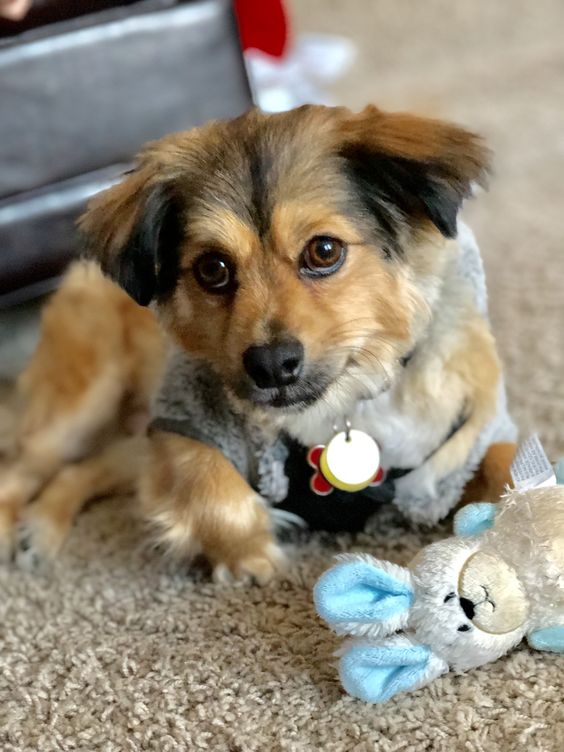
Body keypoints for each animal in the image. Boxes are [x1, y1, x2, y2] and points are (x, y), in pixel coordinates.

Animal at [0, 106, 516, 580]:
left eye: (324, 251)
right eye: (212, 268)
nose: (271, 364)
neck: (341, 406)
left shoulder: (469, 430)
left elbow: (504, 462)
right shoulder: (181, 422)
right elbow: (214, 489)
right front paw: (256, 561)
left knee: (87, 466)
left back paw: (40, 528)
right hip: (84, 396)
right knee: (24, 466)